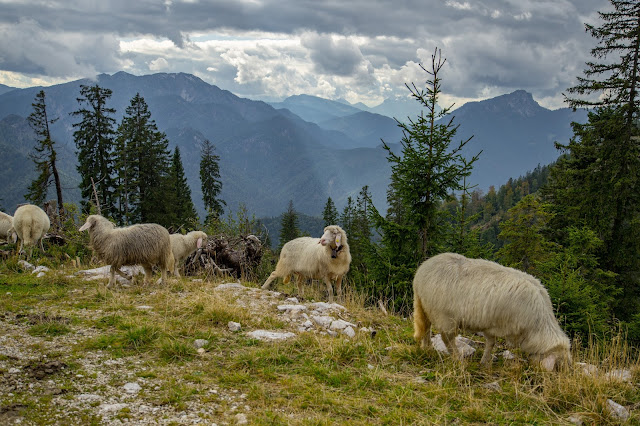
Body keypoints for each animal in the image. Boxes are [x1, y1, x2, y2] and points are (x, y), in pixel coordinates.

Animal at [412, 253, 572, 370]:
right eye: (558, 366)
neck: (537, 325)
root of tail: (421, 272)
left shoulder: (491, 324)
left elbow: (491, 343)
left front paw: (484, 362)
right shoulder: (500, 325)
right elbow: (491, 342)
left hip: (425, 307)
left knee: (426, 328)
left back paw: (427, 348)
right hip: (444, 315)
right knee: (447, 338)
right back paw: (457, 359)